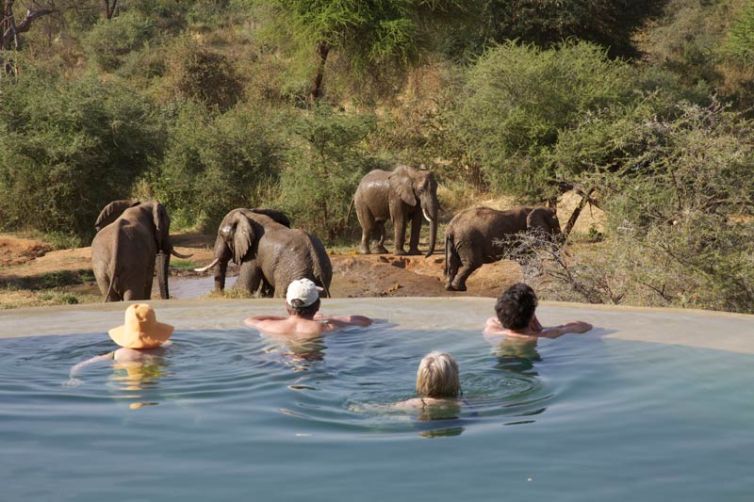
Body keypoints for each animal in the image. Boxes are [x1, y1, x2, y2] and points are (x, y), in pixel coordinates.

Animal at [193, 208, 332, 298]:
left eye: (221, 235)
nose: (218, 294)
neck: (250, 214)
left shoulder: (253, 253)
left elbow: (244, 287)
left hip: (291, 273)